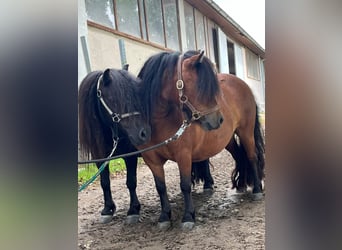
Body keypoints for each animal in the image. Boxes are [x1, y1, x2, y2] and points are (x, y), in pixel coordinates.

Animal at [136, 49, 264, 229]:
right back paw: (241, 185)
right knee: (240, 156)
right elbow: (160, 187)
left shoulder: (183, 155)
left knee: (252, 156)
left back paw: (257, 190)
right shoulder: (151, 159)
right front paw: (164, 216)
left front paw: (188, 216)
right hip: (228, 140)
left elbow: (185, 185)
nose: (219, 120)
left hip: (246, 132)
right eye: (201, 87)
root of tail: (242, 84)